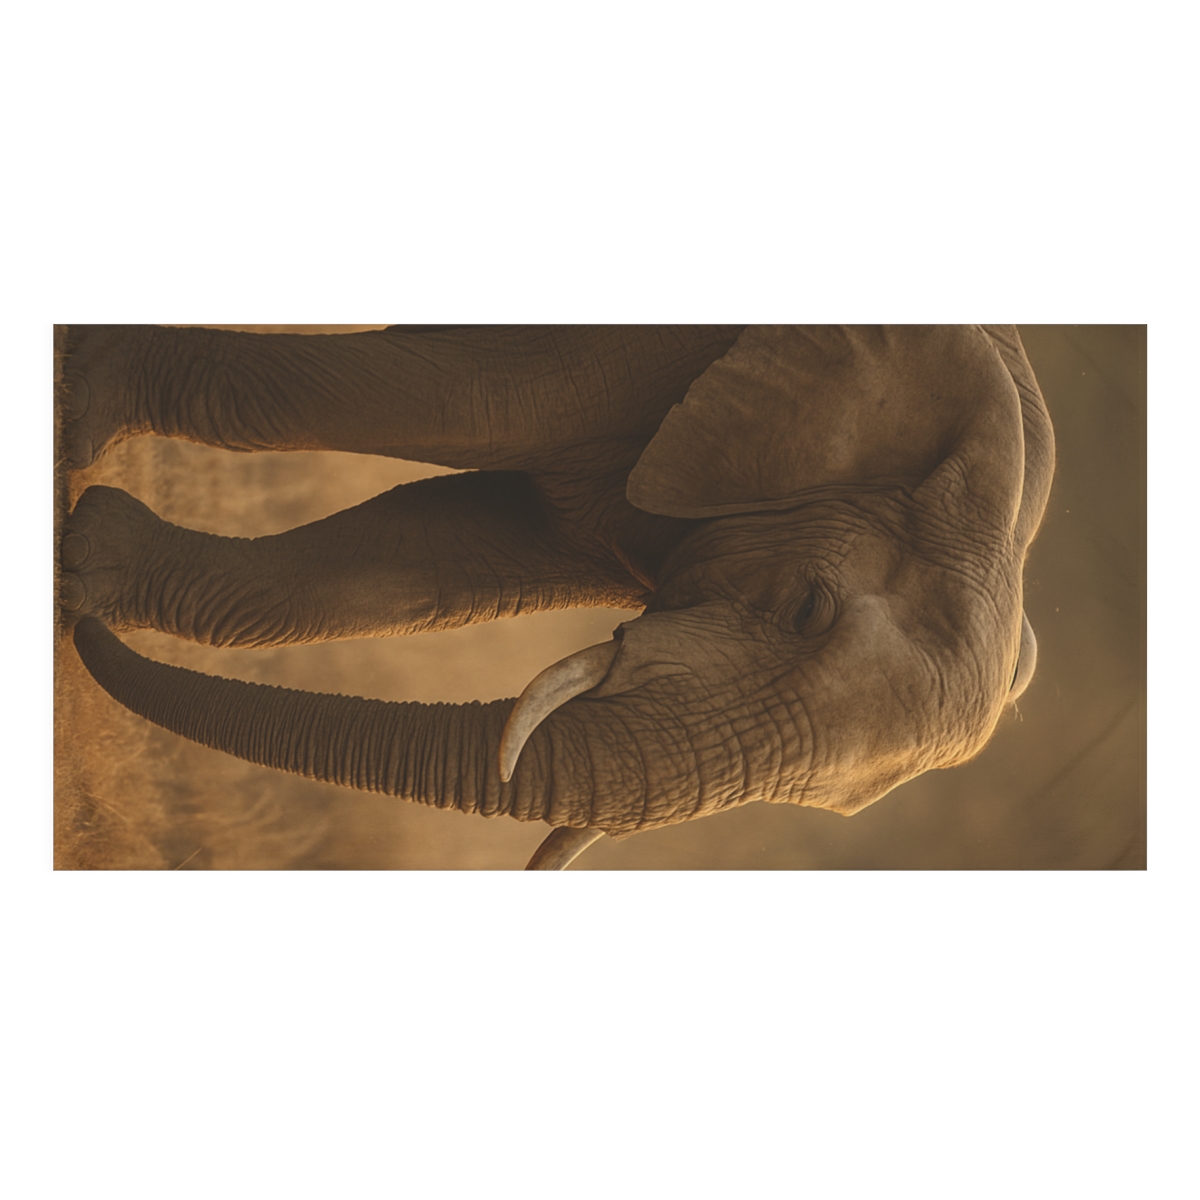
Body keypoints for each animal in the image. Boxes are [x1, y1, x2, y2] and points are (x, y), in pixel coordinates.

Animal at [57, 324, 1055, 869]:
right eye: (808, 609)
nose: (86, 631)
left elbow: (425, 557)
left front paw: (82, 568)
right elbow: (465, 403)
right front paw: (75, 415)